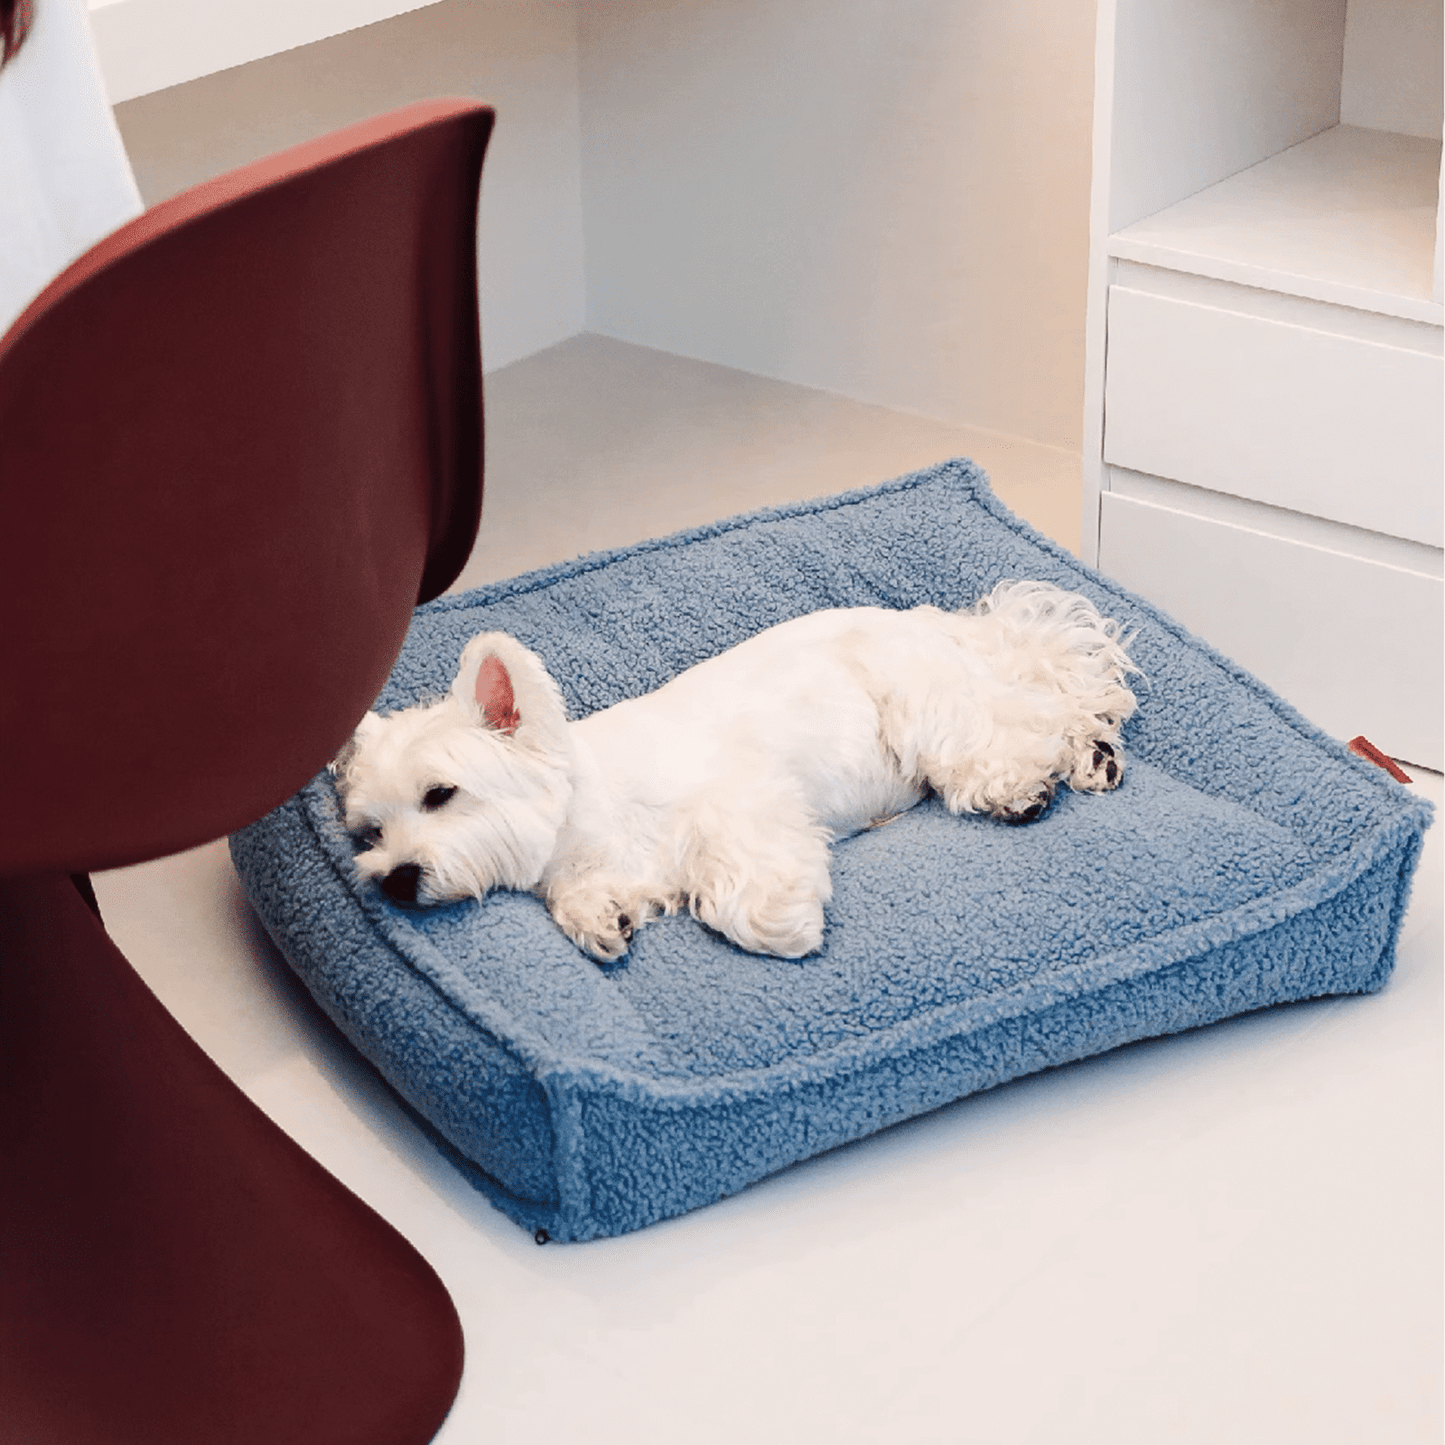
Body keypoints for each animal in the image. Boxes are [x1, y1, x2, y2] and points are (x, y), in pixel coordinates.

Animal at [335, 580, 1138, 965]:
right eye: (369, 834)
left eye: (441, 794)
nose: (396, 879)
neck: (585, 816)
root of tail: (938, 621)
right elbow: (597, 899)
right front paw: (597, 920)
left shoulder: (743, 801)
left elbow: (739, 880)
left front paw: (783, 924)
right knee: (1051, 707)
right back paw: (1092, 756)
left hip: (926, 709)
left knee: (1017, 729)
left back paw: (1030, 784)